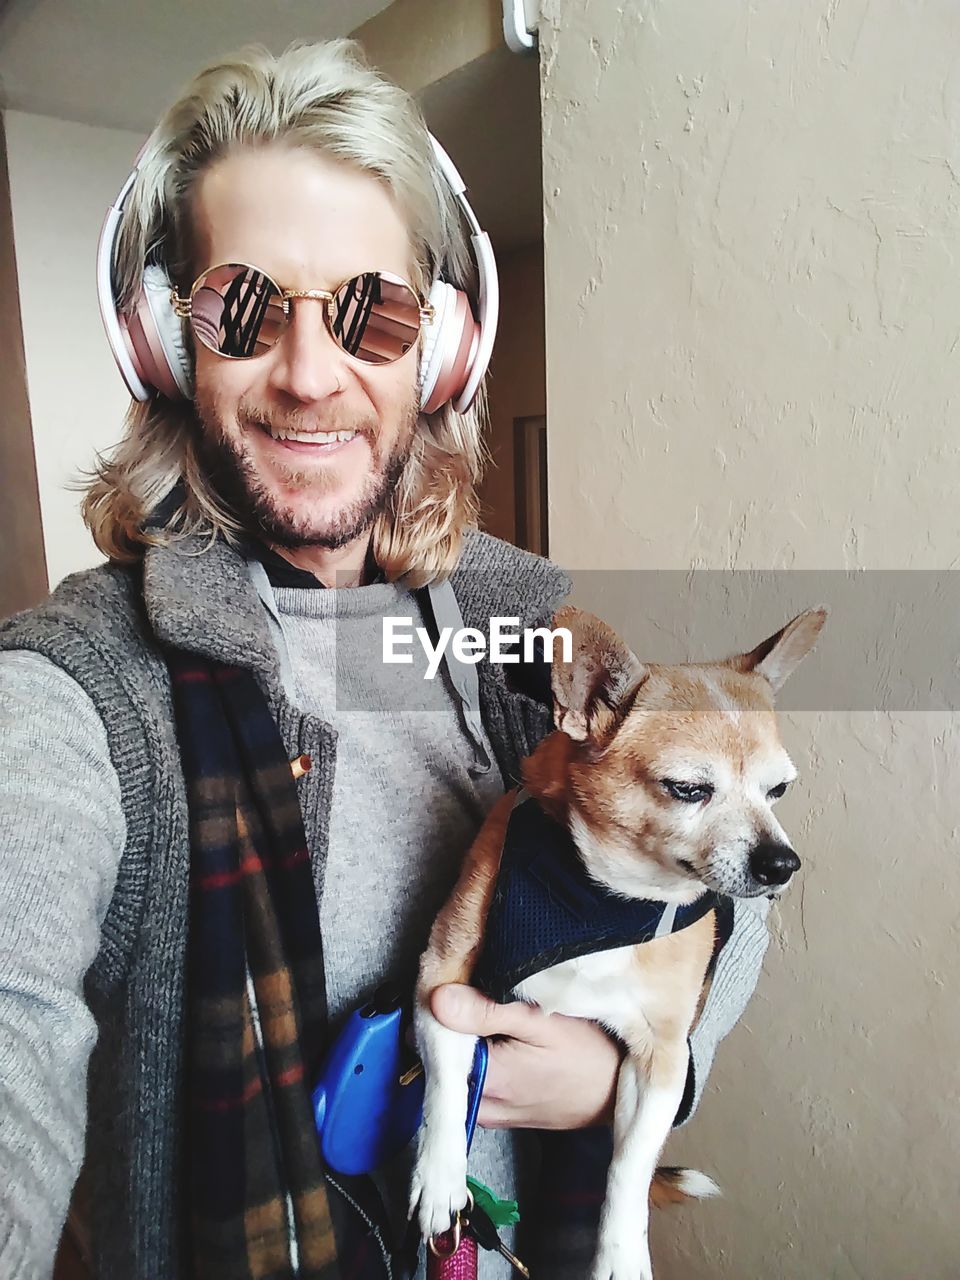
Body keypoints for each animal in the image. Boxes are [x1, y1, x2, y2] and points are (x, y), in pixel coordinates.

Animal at [412, 601, 829, 1280]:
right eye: (688, 790)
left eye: (779, 791)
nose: (781, 864)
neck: (600, 903)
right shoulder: (441, 980)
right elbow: (447, 1081)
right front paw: (440, 1177)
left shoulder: (660, 1060)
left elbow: (629, 1168)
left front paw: (621, 1253)